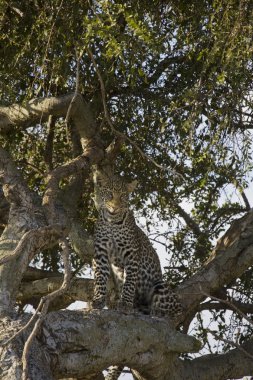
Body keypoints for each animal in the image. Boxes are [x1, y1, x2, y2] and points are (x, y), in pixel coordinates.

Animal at [92, 170, 183, 380]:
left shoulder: (131, 255)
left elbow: (129, 283)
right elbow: (100, 279)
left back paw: (157, 314)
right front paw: (98, 300)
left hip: (161, 287)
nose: (115, 207)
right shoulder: (101, 254)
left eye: (123, 196)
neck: (112, 223)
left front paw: (125, 305)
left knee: (175, 313)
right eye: (109, 194)